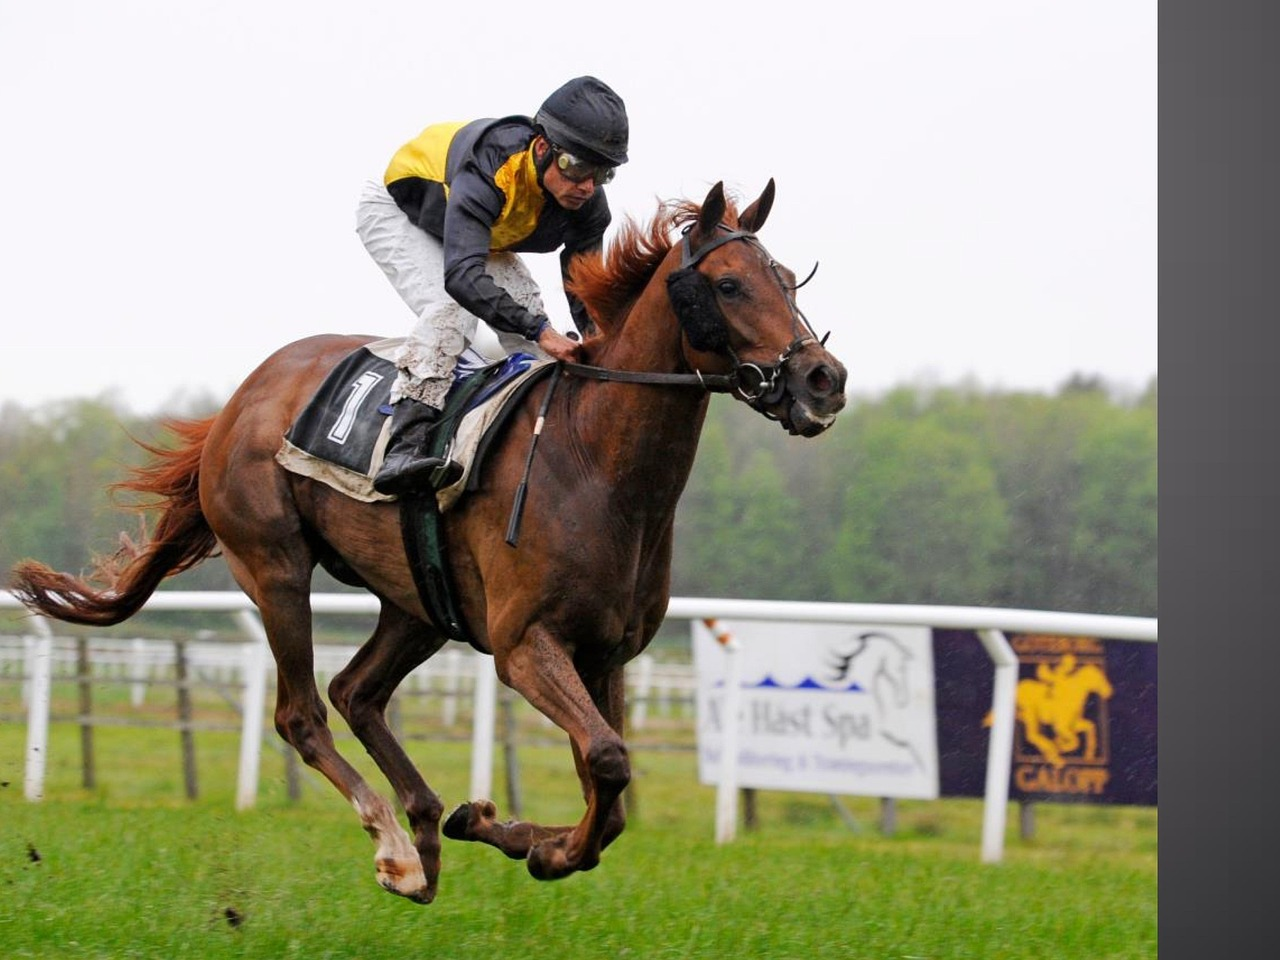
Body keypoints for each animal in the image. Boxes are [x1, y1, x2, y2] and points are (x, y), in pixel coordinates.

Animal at [12, 179, 849, 901]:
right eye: (731, 284)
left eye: (789, 280)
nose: (823, 379)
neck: (595, 461)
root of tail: (240, 399)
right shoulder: (525, 644)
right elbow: (608, 761)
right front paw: (536, 847)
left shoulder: (607, 651)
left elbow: (608, 793)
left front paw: (504, 829)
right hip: (273, 565)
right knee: (303, 713)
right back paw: (395, 850)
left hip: (417, 599)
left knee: (357, 692)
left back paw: (426, 828)